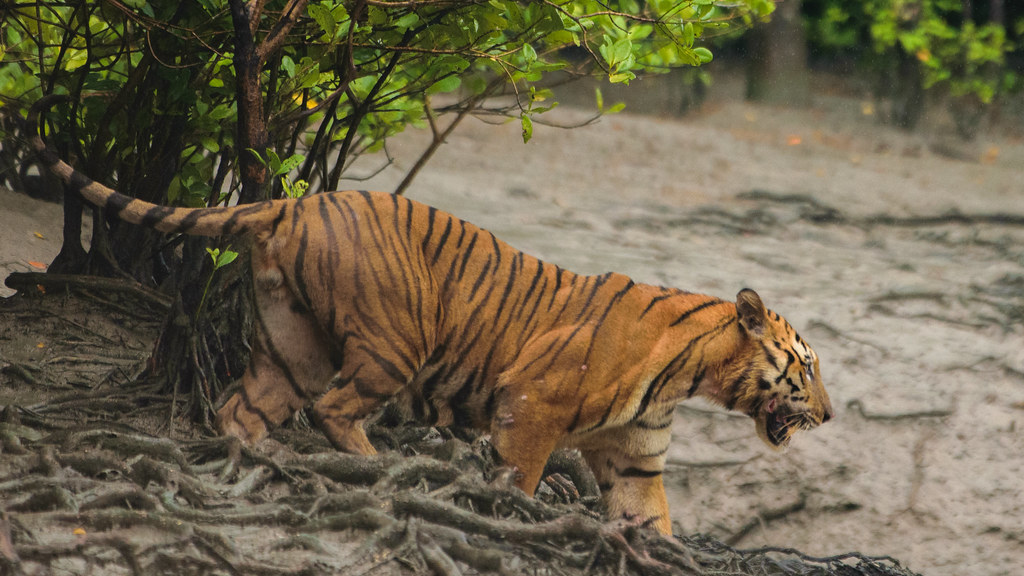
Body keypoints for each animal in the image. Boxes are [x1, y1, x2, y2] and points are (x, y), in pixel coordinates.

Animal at [25, 103, 833, 535]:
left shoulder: (634, 456)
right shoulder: (532, 406)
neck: (692, 376)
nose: (828, 416)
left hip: (292, 347)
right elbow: (522, 478)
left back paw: (252, 466)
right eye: (806, 366)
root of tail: (295, 202)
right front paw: (511, 513)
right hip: (395, 341)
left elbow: (652, 518)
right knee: (336, 409)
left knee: (241, 410)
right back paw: (380, 470)